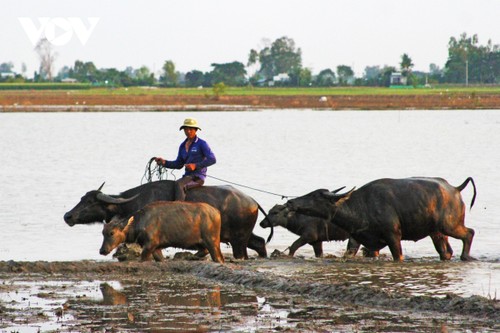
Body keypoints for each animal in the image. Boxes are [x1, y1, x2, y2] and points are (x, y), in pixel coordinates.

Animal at [65, 179, 274, 260]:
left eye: (90, 201)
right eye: (82, 198)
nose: (68, 216)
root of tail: (252, 200)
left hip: (239, 239)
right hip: (242, 236)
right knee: (259, 242)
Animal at [282, 176, 476, 260]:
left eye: (315, 196)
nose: (290, 201)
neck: (361, 207)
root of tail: (455, 189)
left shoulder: (393, 236)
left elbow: (398, 256)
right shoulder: (366, 241)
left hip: (450, 225)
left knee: (469, 233)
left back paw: (465, 256)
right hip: (437, 232)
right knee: (445, 252)